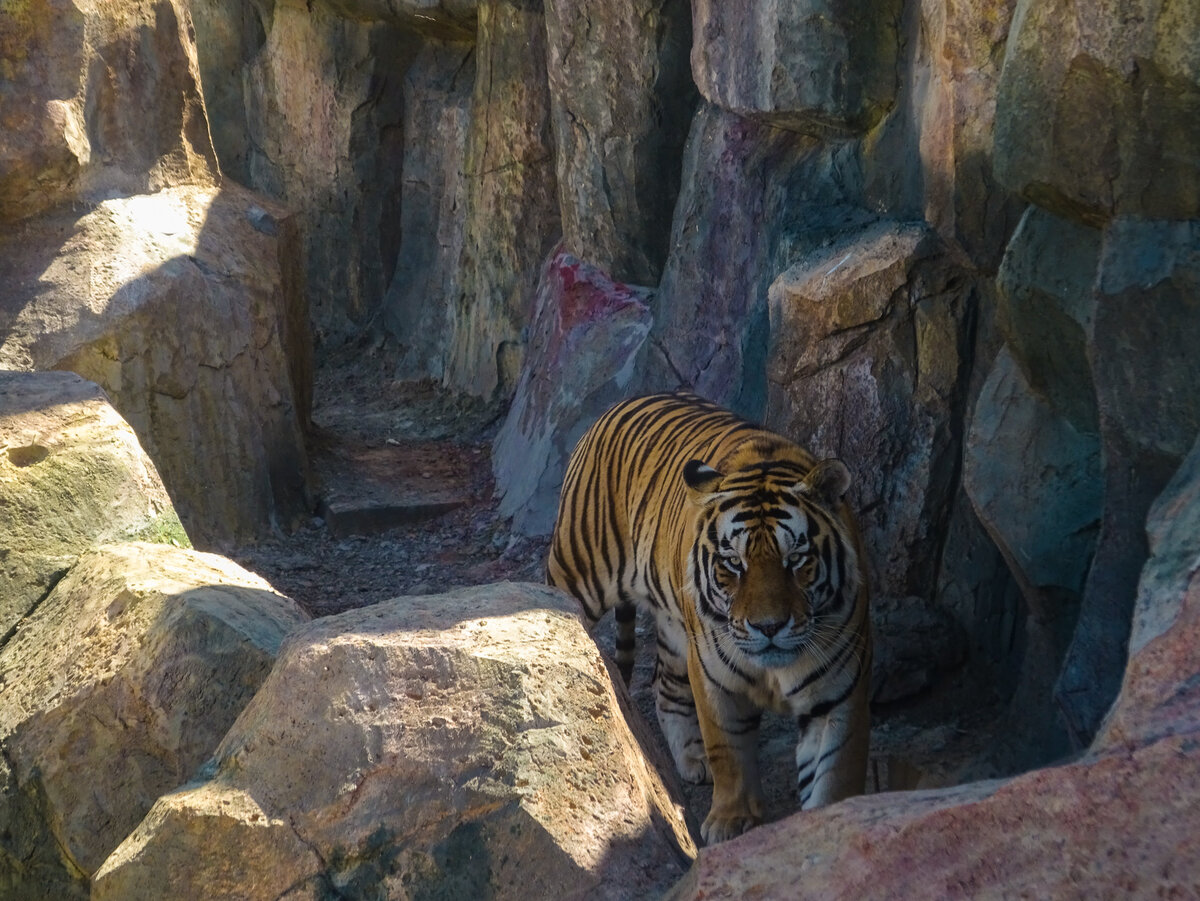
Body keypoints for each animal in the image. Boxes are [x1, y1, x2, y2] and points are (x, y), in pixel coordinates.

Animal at [546, 392, 871, 844]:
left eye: (796, 561)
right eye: (734, 563)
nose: (768, 627)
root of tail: (620, 403)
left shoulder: (838, 692)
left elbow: (834, 769)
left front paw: (830, 822)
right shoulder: (714, 674)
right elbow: (728, 750)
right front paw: (731, 821)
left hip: (674, 627)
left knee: (664, 686)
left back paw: (690, 759)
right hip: (577, 576)